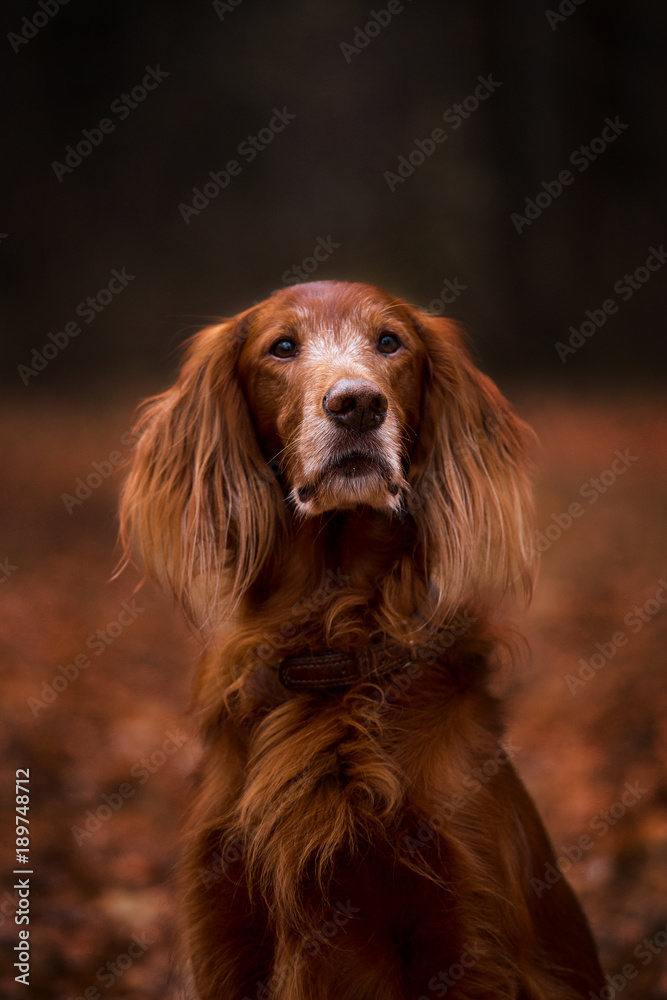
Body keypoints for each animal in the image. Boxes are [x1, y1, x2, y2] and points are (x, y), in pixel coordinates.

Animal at [118, 282, 604, 1000]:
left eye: (390, 342)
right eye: (282, 347)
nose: (357, 404)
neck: (333, 644)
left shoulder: (469, 937)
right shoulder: (226, 931)